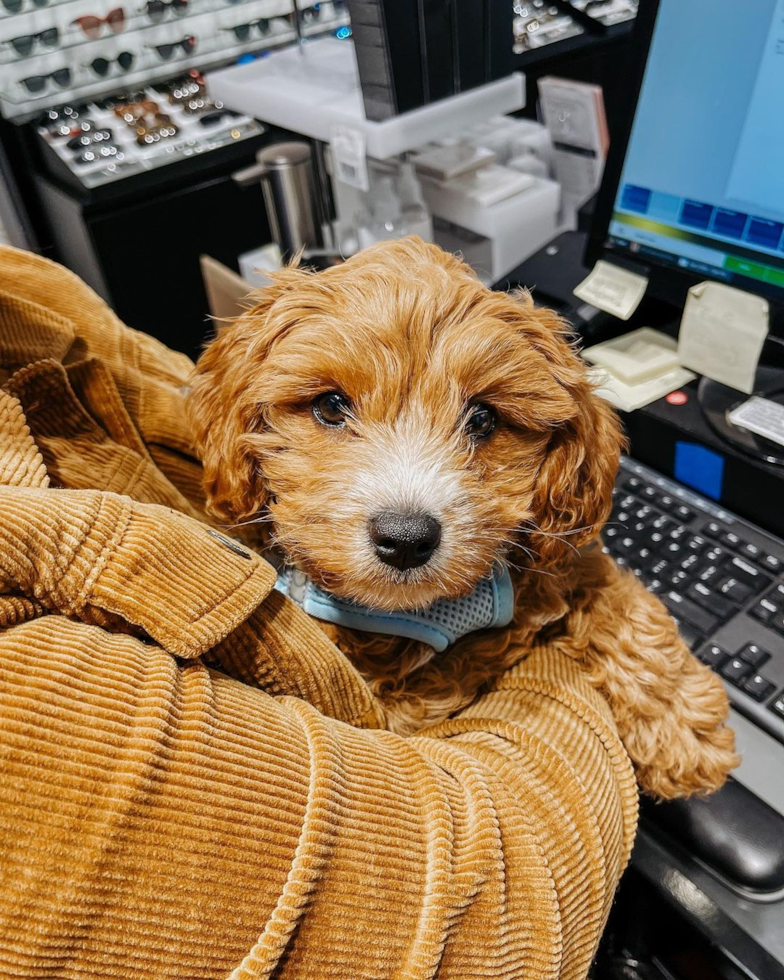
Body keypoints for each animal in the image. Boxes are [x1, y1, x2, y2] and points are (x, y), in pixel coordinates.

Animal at [188, 235, 736, 796]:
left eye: (483, 418)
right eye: (331, 406)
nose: (405, 538)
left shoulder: (561, 553)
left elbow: (617, 600)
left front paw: (681, 726)